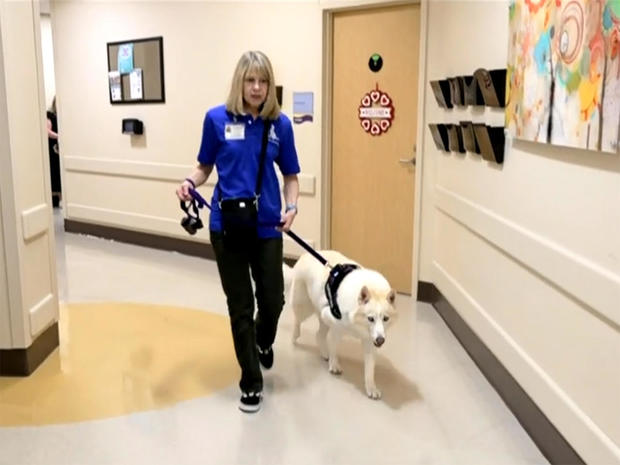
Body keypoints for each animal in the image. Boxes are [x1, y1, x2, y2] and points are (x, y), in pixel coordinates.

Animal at [286, 250, 398, 398]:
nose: (380, 340)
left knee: (318, 335)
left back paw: (324, 353)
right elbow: (334, 347)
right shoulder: (333, 322)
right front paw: (334, 365)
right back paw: (295, 337)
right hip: (304, 307)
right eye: (370, 319)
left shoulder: (369, 340)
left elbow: (369, 369)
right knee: (297, 320)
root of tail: (303, 256)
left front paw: (371, 387)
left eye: (385, 319)